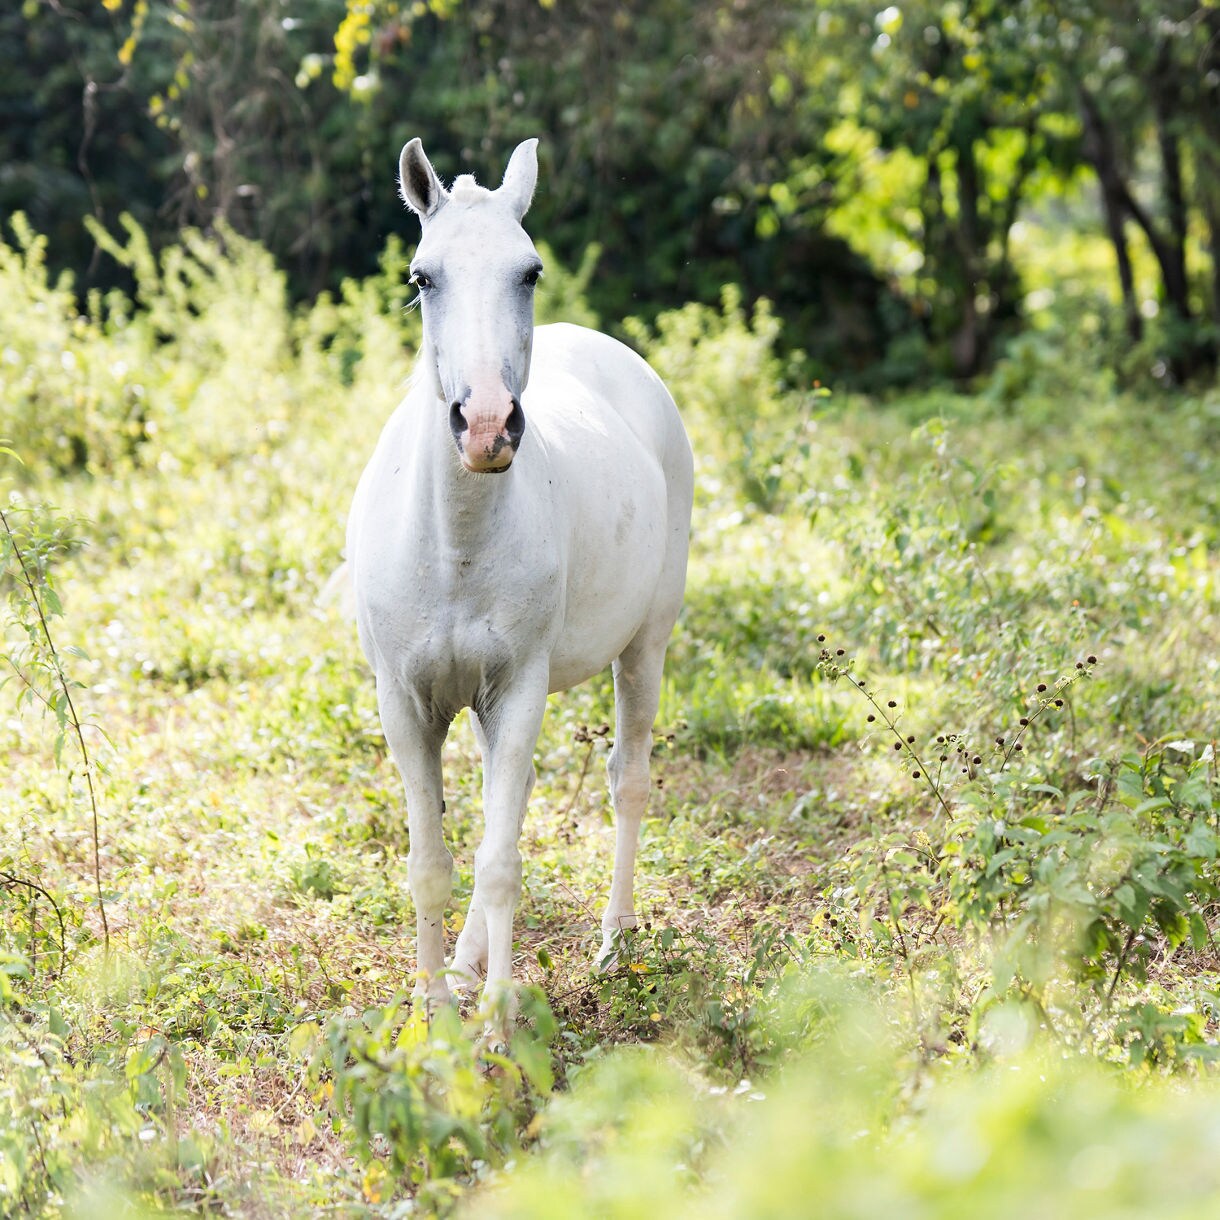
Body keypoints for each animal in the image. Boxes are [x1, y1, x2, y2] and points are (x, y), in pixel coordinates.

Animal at [346, 137, 693, 1006]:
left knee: (628, 779)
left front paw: (501, 1016)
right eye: (422, 276)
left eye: (529, 271)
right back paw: (467, 964)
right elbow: (431, 864)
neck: (454, 546)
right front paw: (434, 1006)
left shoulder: (520, 687)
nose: (487, 425)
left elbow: (500, 863)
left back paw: (614, 942)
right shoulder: (406, 701)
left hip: (644, 646)